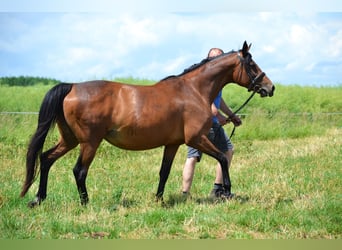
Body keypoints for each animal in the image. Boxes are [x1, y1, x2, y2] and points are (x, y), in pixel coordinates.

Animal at [20, 41, 276, 207]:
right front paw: (228, 190)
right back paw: (85, 203)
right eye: (252, 65)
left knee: (46, 159)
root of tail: (71, 87)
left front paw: (159, 199)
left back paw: (38, 199)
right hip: (89, 142)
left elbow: (164, 172)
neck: (193, 90)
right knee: (79, 171)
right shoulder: (196, 139)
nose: (270, 87)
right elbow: (223, 158)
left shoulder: (173, 144)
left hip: (70, 140)